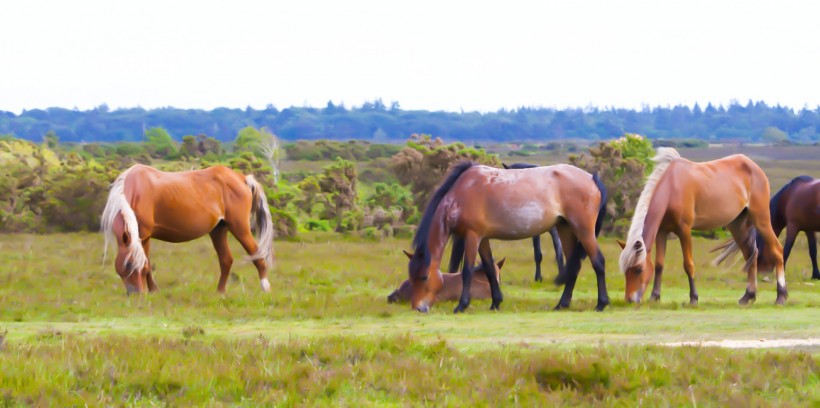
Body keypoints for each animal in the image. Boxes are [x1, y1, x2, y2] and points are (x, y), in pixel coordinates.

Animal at [101, 164, 276, 294]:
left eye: (131, 264)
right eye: (126, 265)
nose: (136, 294)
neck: (136, 190)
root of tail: (243, 178)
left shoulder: (144, 235)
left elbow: (147, 264)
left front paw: (153, 290)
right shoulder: (143, 238)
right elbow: (148, 263)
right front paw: (153, 290)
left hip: (240, 228)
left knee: (257, 255)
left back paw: (265, 288)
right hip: (218, 230)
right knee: (226, 260)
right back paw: (220, 292)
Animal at [406, 162, 604, 312]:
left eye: (424, 277)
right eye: (411, 278)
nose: (418, 308)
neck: (462, 191)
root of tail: (591, 178)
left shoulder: (472, 236)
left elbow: (467, 271)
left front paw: (462, 305)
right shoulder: (483, 239)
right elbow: (489, 268)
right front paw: (495, 302)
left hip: (584, 231)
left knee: (598, 262)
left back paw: (601, 304)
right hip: (565, 229)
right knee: (574, 266)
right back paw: (562, 304)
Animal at [616, 148, 788, 304]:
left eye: (638, 269)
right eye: (625, 271)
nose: (629, 300)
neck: (672, 188)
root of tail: (754, 167)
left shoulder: (684, 230)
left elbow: (688, 264)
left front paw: (694, 298)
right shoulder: (662, 232)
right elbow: (659, 264)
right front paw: (654, 296)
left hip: (761, 219)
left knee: (777, 250)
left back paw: (781, 296)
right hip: (737, 226)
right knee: (751, 255)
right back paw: (747, 296)